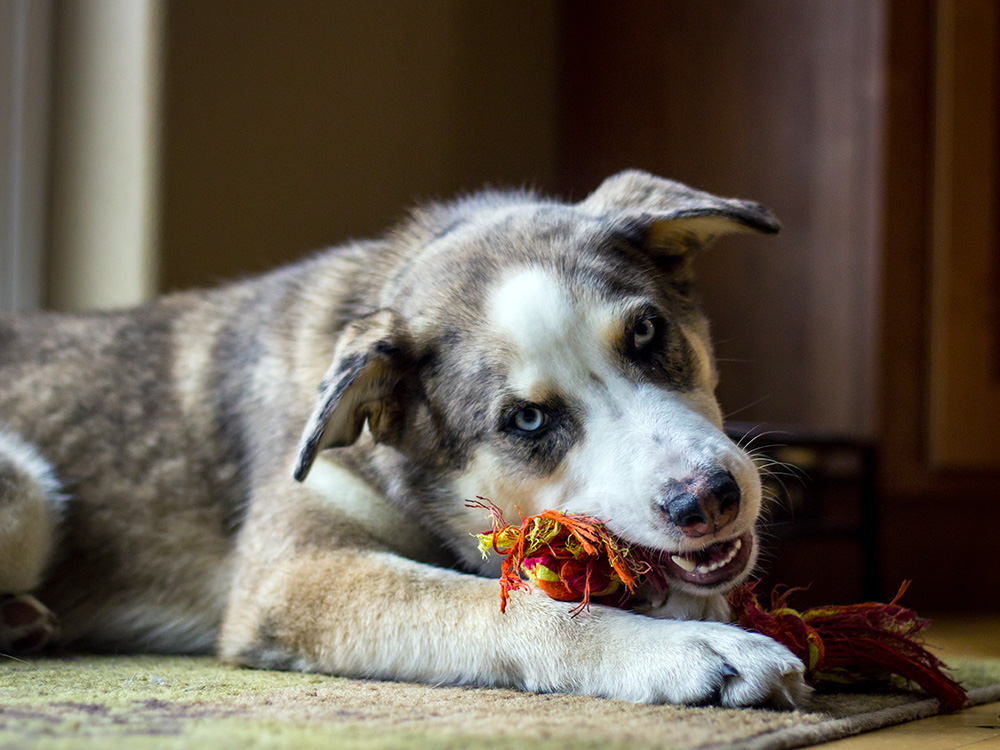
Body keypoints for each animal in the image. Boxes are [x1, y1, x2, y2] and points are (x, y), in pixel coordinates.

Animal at [0, 173, 808, 708]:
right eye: (527, 422)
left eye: (646, 333)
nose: (709, 500)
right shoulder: (295, 577)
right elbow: (505, 607)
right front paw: (692, 652)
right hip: (26, 492)